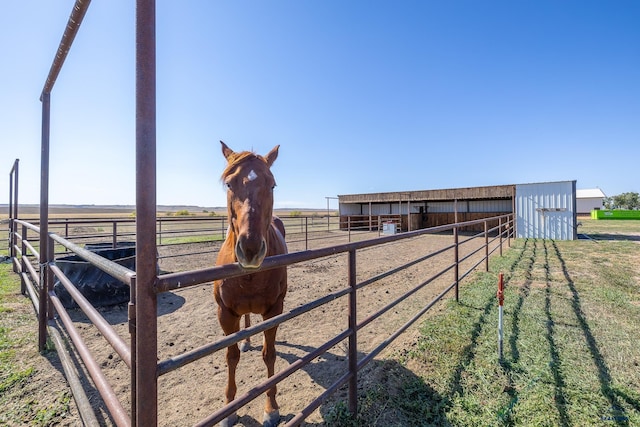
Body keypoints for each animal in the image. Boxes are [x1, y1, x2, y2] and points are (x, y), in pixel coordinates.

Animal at [214, 143, 286, 427]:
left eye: (272, 184)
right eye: (229, 184)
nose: (251, 248)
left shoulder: (274, 310)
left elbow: (269, 354)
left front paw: (271, 408)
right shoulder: (225, 313)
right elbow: (231, 357)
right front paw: (229, 410)